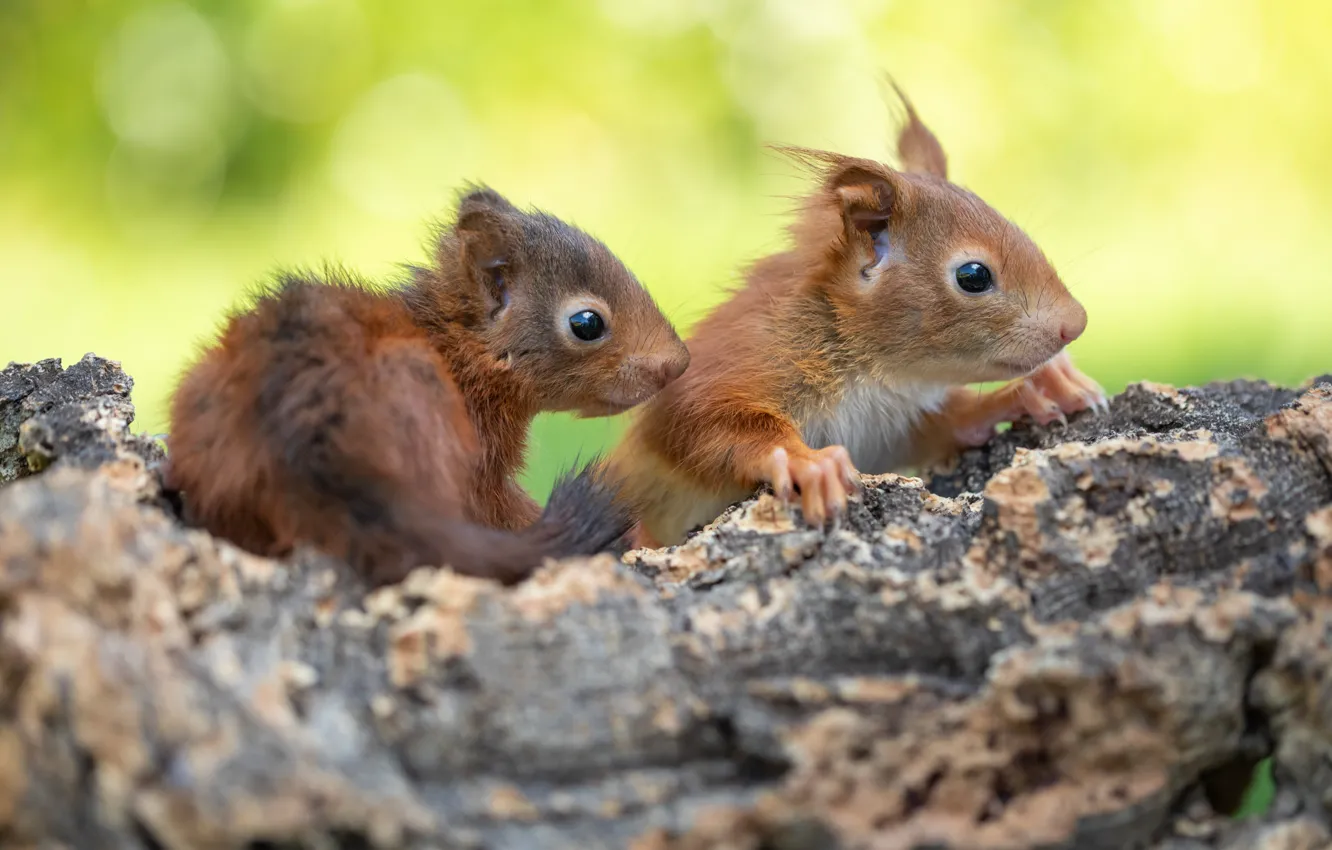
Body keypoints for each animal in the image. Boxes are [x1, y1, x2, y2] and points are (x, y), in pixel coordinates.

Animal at [608, 86, 1106, 548]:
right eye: (973, 276)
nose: (1076, 323)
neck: (874, 374)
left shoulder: (890, 429)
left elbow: (948, 425)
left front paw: (1038, 388)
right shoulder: (731, 363)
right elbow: (707, 426)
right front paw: (810, 463)